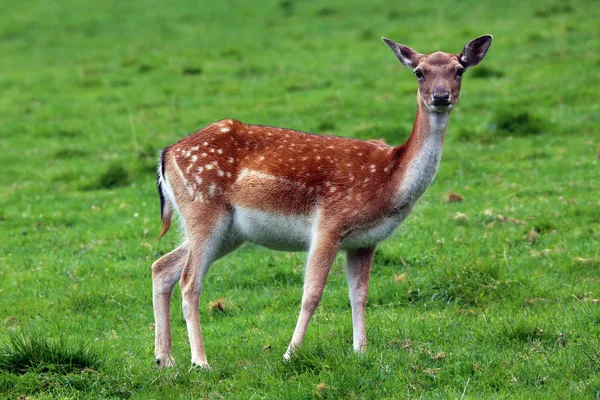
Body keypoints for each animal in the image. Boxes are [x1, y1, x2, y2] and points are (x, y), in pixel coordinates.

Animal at [150, 33, 492, 366]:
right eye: (419, 72)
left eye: (459, 70)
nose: (440, 96)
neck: (390, 181)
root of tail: (165, 155)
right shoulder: (330, 223)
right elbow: (312, 294)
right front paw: (290, 354)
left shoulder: (366, 241)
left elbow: (360, 294)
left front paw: (360, 351)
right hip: (202, 207)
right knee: (189, 281)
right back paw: (200, 362)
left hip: (230, 231)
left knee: (162, 266)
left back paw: (165, 359)